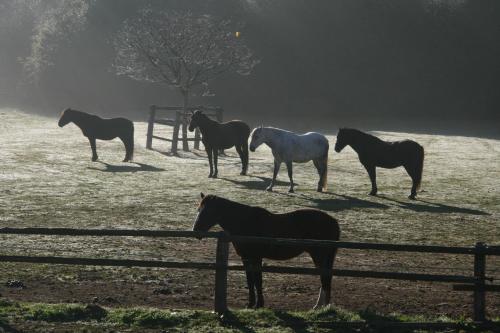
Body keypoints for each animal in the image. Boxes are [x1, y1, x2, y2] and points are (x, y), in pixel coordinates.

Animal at [191, 192, 340, 308]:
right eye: (198, 209)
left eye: (208, 211)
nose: (196, 231)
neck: (245, 222)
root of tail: (333, 221)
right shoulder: (246, 258)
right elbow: (250, 281)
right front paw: (250, 304)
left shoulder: (256, 258)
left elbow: (258, 280)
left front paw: (259, 304)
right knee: (325, 279)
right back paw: (320, 306)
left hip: (319, 256)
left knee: (325, 278)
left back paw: (322, 307)